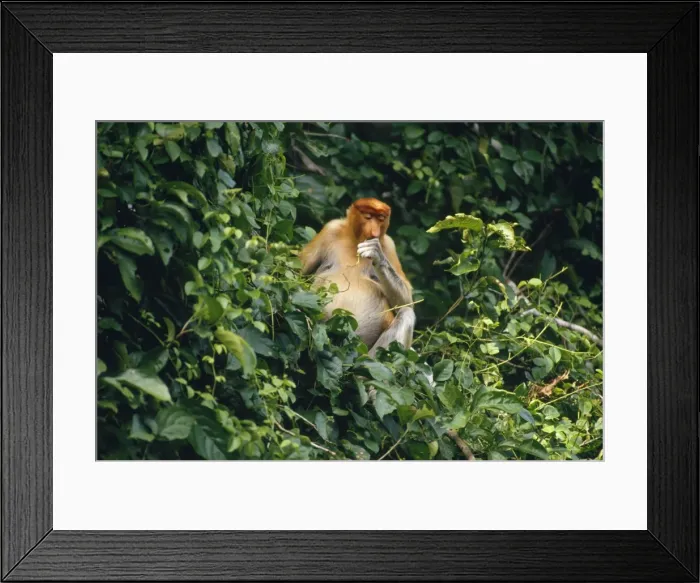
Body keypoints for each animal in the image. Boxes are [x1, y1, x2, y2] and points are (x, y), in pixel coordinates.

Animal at [300, 198, 416, 356]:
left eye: (381, 219)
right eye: (368, 217)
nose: (374, 232)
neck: (355, 241)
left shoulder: (388, 245)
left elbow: (406, 301)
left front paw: (376, 254)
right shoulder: (330, 229)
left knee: (406, 314)